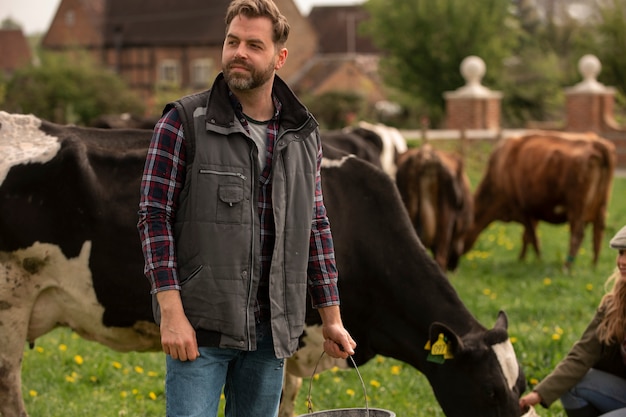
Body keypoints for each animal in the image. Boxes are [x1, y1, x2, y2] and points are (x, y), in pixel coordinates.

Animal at [464, 130, 616, 266]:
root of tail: (595, 143)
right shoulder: (533, 213)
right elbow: (527, 237)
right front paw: (522, 259)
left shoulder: (522, 209)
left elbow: (532, 237)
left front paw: (538, 260)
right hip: (600, 207)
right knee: (598, 234)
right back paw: (593, 265)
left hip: (576, 207)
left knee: (577, 234)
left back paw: (567, 267)